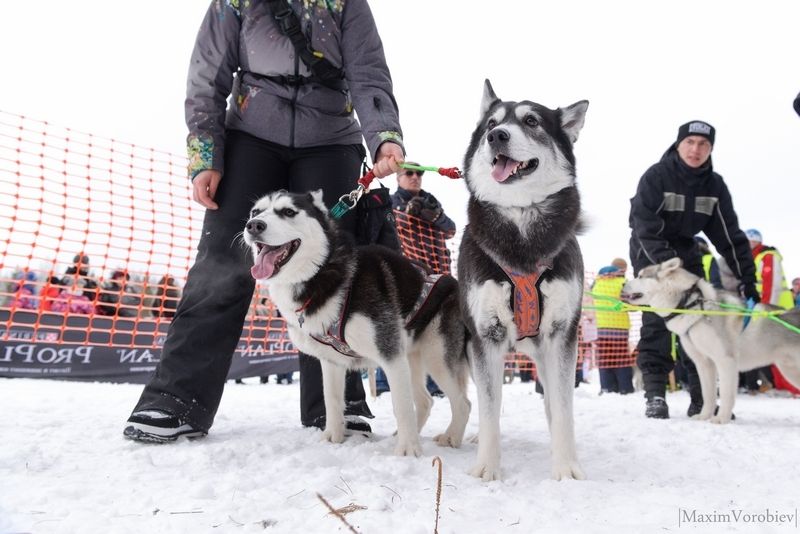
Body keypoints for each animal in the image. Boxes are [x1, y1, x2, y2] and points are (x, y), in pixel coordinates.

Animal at [242, 191, 468, 458]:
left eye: (288, 211)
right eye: (255, 212)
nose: (254, 225)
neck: (322, 274)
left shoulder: (390, 355)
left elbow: (401, 405)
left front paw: (408, 450)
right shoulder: (331, 361)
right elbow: (332, 399)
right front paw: (333, 437)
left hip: (436, 357)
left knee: (462, 403)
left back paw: (451, 437)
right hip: (412, 358)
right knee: (425, 400)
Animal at [456, 81, 588, 484]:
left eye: (531, 121)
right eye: (491, 123)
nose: (496, 136)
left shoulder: (561, 335)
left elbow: (563, 407)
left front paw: (566, 466)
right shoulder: (485, 336)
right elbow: (489, 406)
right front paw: (487, 466)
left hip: (544, 354)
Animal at [620, 260, 800, 428]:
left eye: (641, 276)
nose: (622, 284)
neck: (691, 306)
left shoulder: (725, 361)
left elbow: (726, 394)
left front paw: (721, 419)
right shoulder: (704, 363)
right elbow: (708, 394)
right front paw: (704, 415)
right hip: (790, 371)